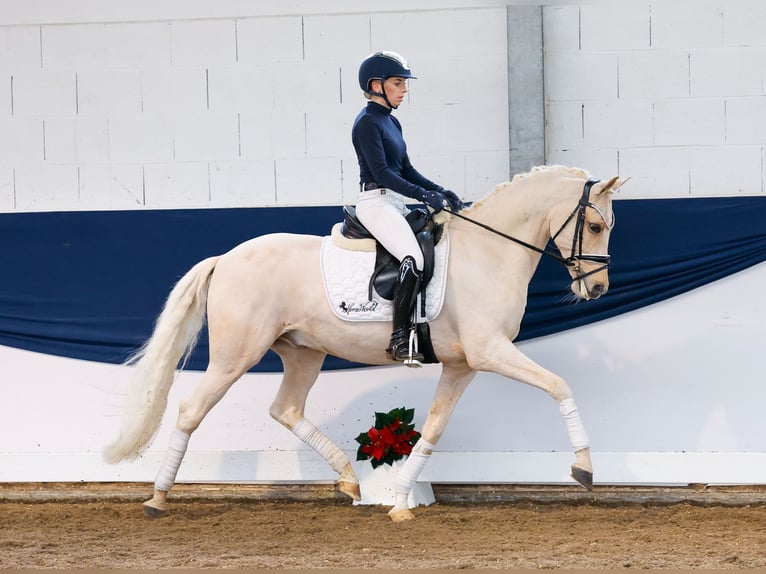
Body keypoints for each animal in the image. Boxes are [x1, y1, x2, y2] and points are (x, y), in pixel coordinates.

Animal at [103, 165, 632, 520]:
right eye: (595, 226)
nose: (597, 289)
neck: (490, 252)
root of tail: (226, 258)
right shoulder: (490, 352)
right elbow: (559, 385)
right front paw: (584, 468)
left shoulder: (463, 365)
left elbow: (434, 429)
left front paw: (399, 501)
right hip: (237, 355)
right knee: (191, 410)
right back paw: (157, 498)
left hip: (304, 352)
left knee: (286, 409)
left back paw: (349, 481)